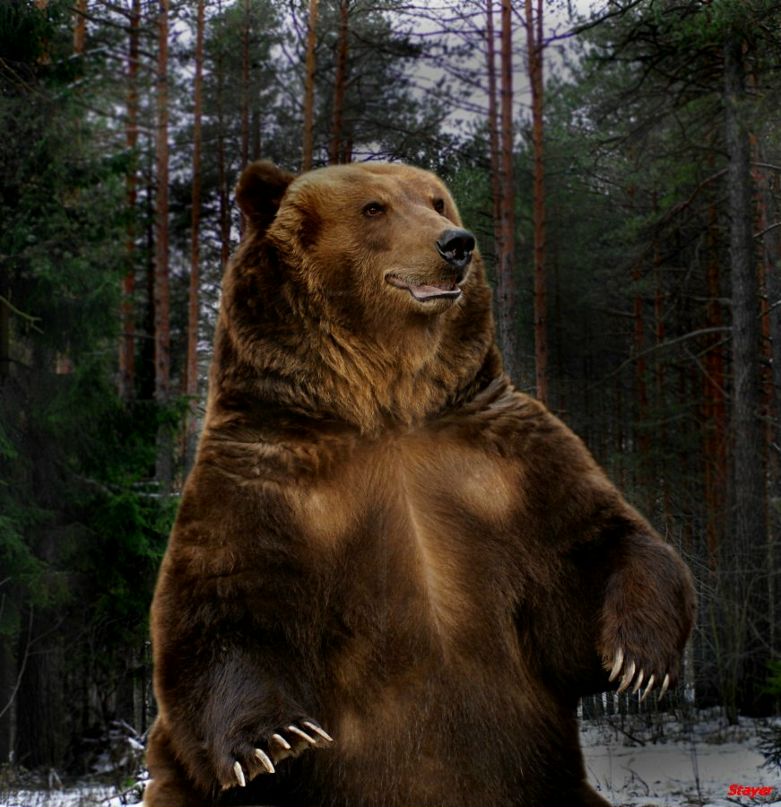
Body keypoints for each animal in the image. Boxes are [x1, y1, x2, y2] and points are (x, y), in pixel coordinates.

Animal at [144, 160, 695, 807]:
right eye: (373, 208)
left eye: (436, 201)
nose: (456, 244)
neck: (385, 403)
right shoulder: (267, 472)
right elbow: (223, 607)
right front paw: (273, 740)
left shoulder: (502, 464)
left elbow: (594, 548)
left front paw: (639, 657)